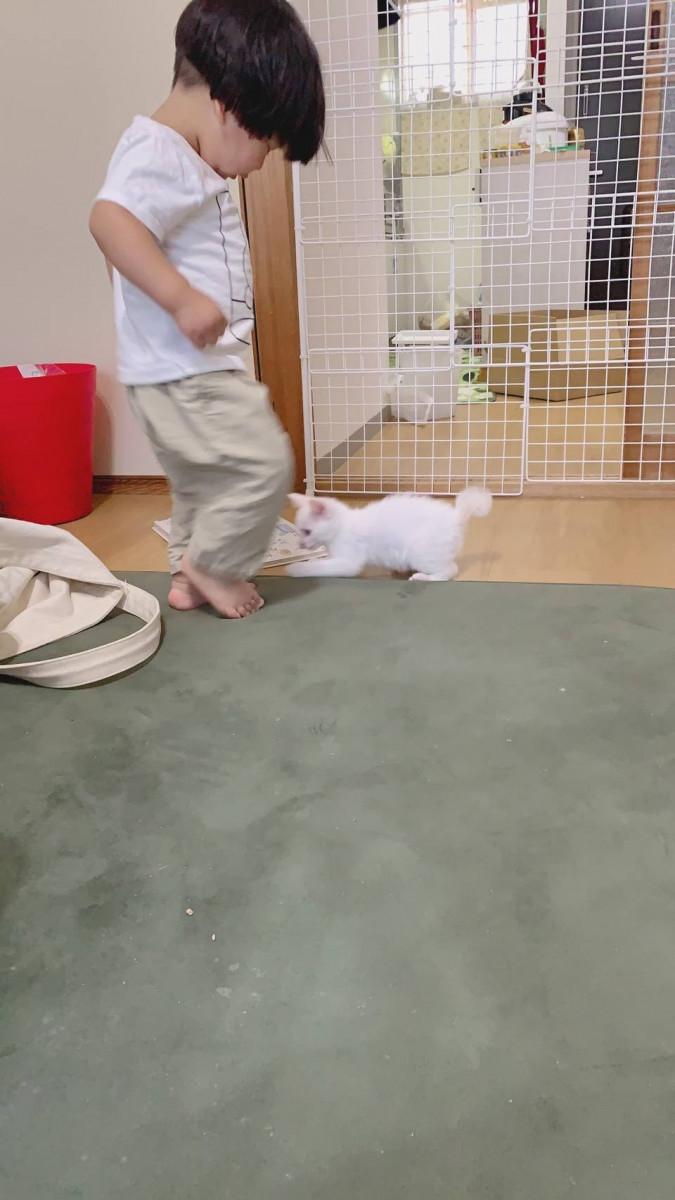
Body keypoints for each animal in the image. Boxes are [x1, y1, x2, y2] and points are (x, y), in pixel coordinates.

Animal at [286, 488, 492, 581]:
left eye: (307, 531)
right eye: (299, 530)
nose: (300, 545)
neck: (342, 526)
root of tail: (455, 517)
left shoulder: (347, 562)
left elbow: (318, 567)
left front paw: (295, 568)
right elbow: (320, 561)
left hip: (420, 551)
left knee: (450, 570)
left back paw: (422, 577)